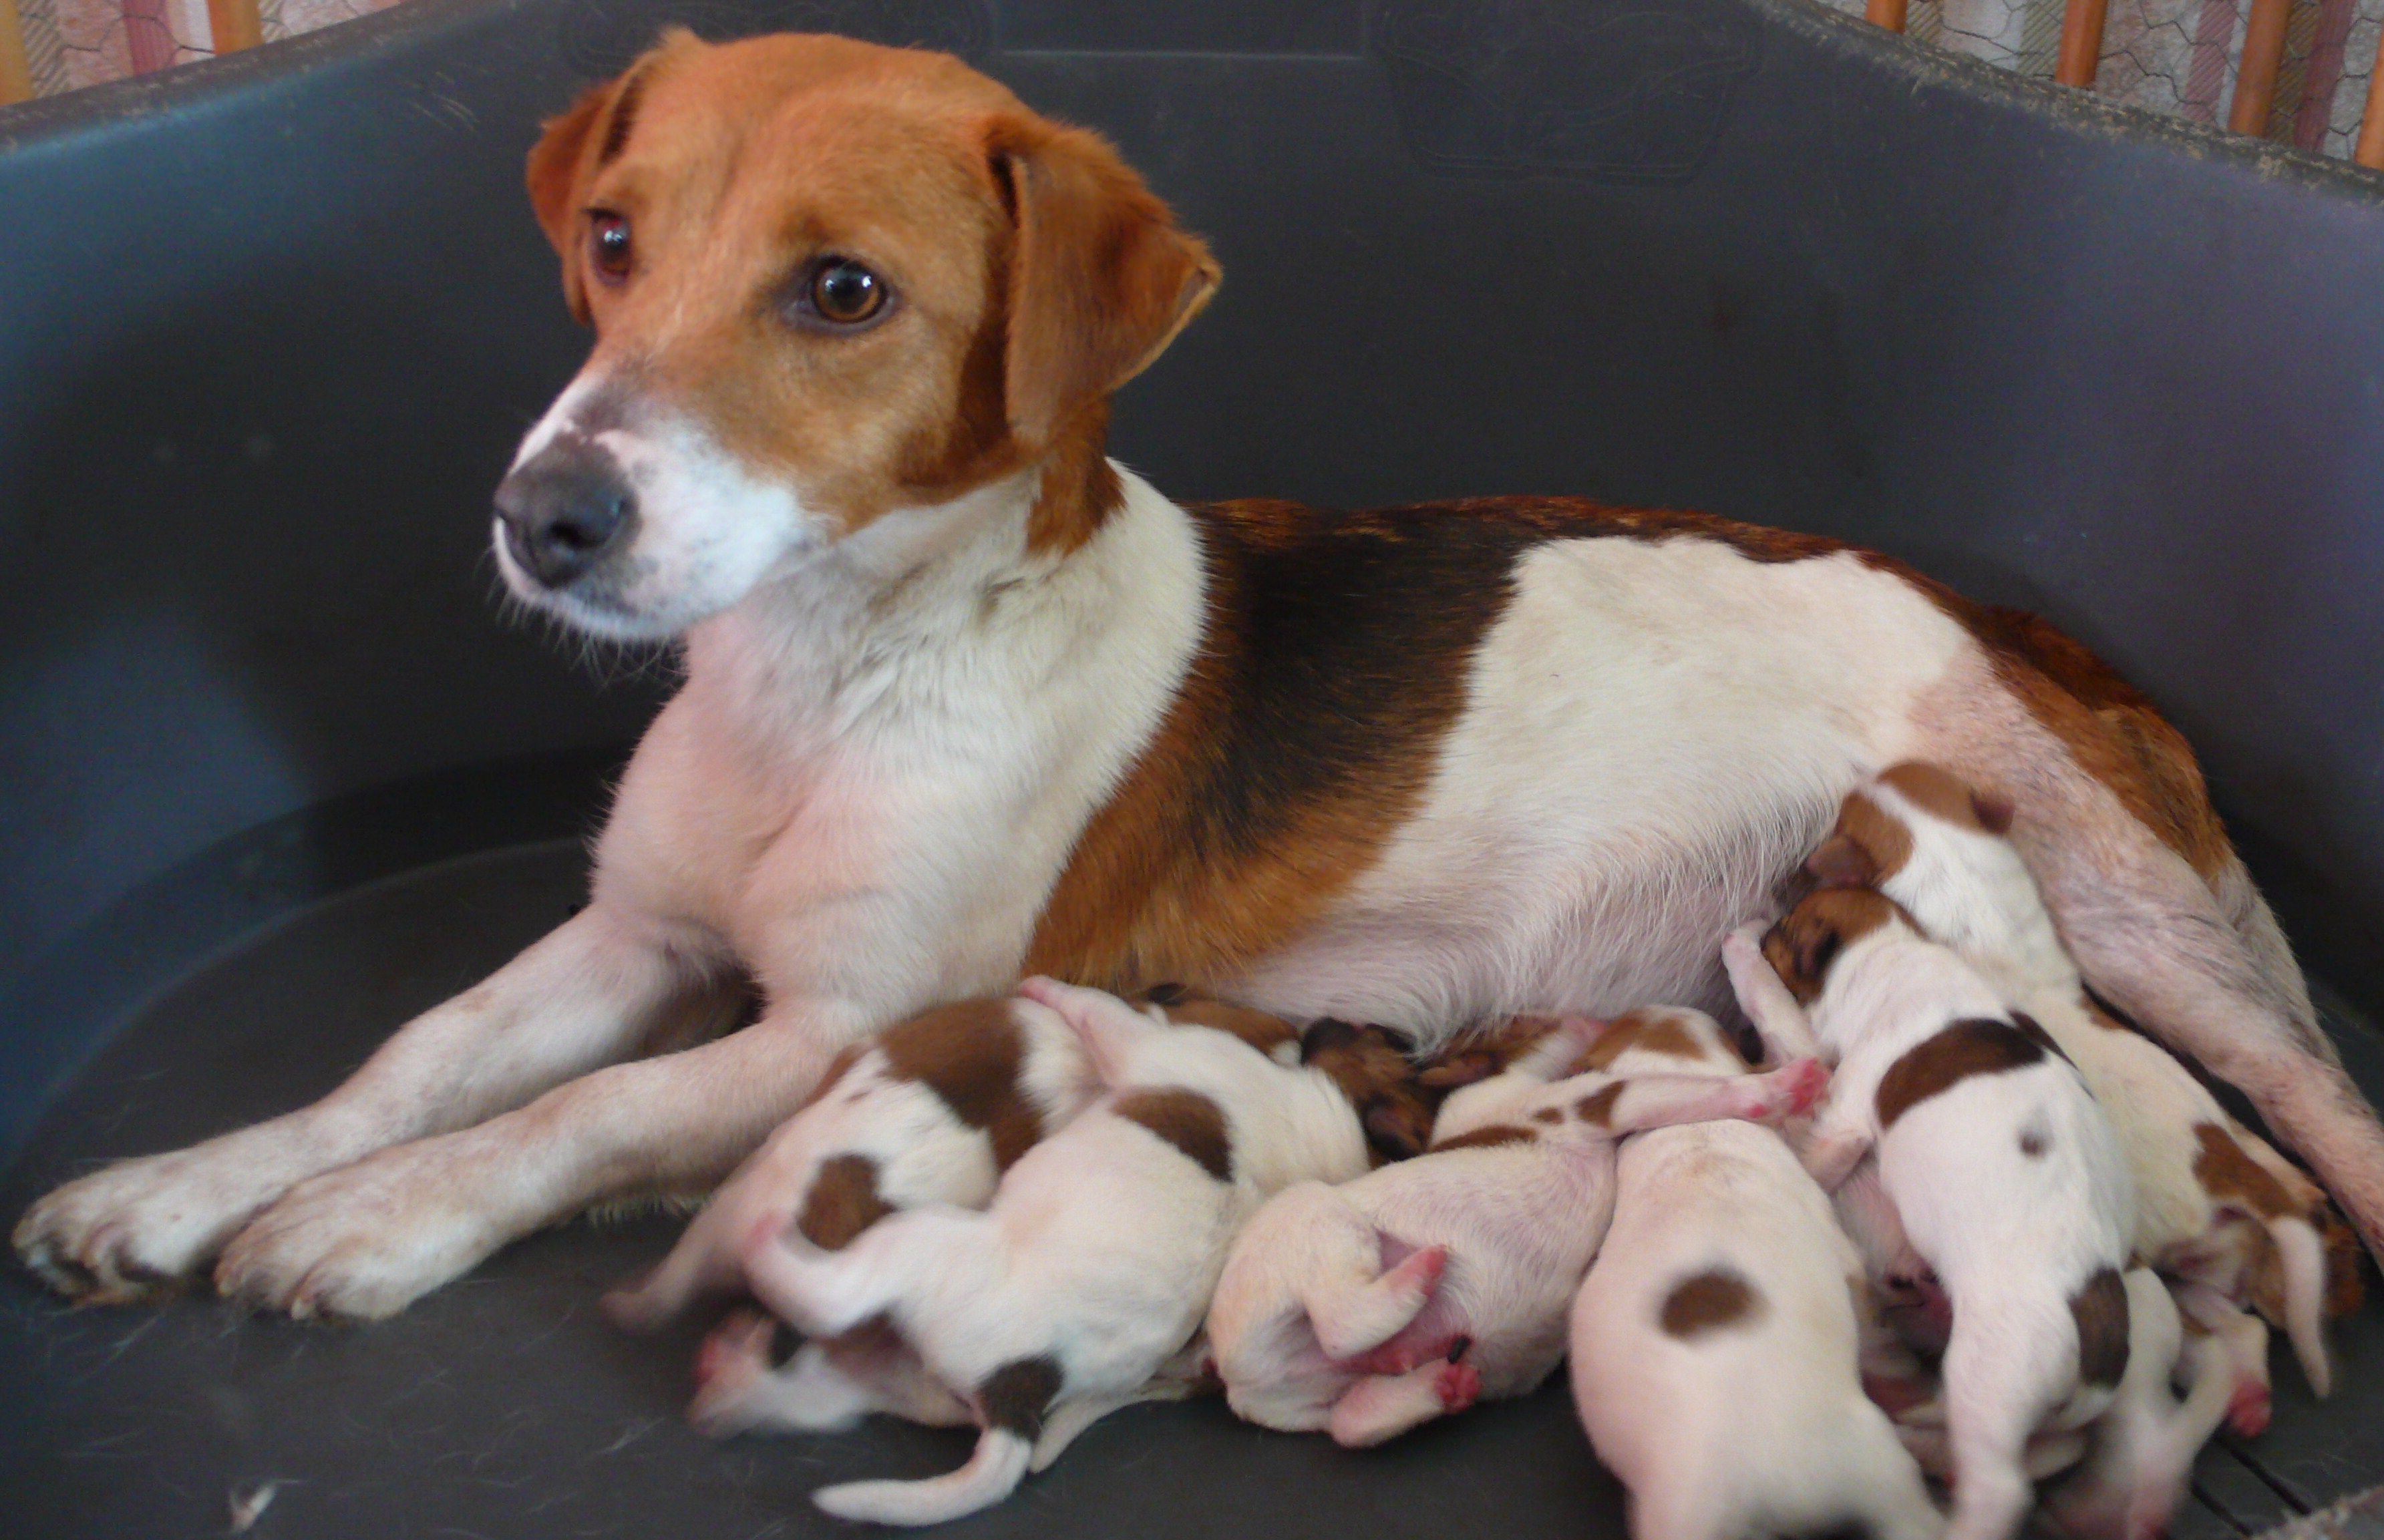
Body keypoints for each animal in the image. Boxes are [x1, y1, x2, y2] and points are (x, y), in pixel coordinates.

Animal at [18, 30, 2384, 1325]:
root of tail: (2004, 612)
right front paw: (206, 1179)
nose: (546, 516)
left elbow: (571, 1114)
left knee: (2327, 1103)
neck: (840, 672)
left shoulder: (840, 1032)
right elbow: (419, 1055)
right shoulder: (633, 939)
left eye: (842, 293)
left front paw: (377, 1222)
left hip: (2145, 923)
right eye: (611, 238)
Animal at [743, 982, 1383, 1525]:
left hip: (920, 1240)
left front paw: (1048, 989)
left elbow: (1093, 1007)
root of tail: (1019, 1389)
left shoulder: (1153, 1047)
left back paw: (766, 1240)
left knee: (827, 1297)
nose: (1307, 1024)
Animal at [1211, 1015, 1821, 1449]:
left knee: (1352, 1419)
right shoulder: (1596, 1100)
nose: (1594, 1014)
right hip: (1310, 1212)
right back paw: (1418, 1275)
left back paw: (1438, 1384)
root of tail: (1236, 1385)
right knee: (1343, 1323)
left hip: (1322, 1398)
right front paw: (1788, 1083)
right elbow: (1695, 1090)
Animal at [1754, 892, 2146, 1540]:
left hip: (1989, 1379)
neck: (1893, 950)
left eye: (1785, 930)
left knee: (2000, 1490)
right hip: (2030, 1413)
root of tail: (2100, 1324)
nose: (1759, 932)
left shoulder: (1847, 1111)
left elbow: (1819, 1157)